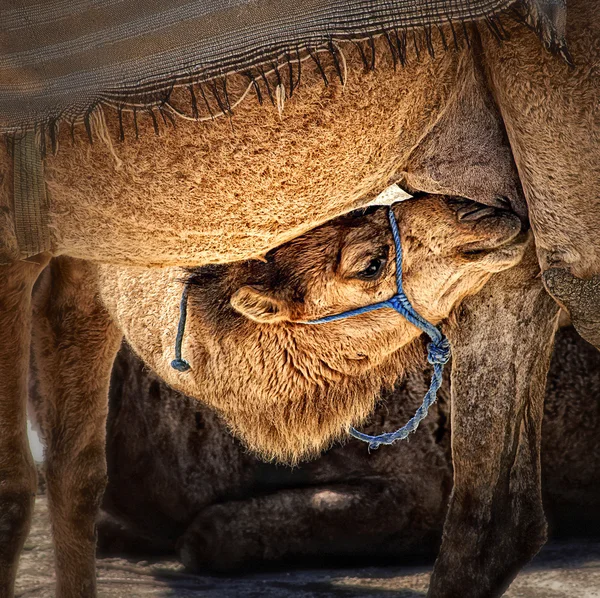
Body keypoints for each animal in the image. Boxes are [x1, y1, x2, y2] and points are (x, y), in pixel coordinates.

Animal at [1, 1, 596, 596]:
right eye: (370, 262)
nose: (479, 211)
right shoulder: (74, 249)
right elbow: (74, 475)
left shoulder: (409, 487)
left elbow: (195, 532)